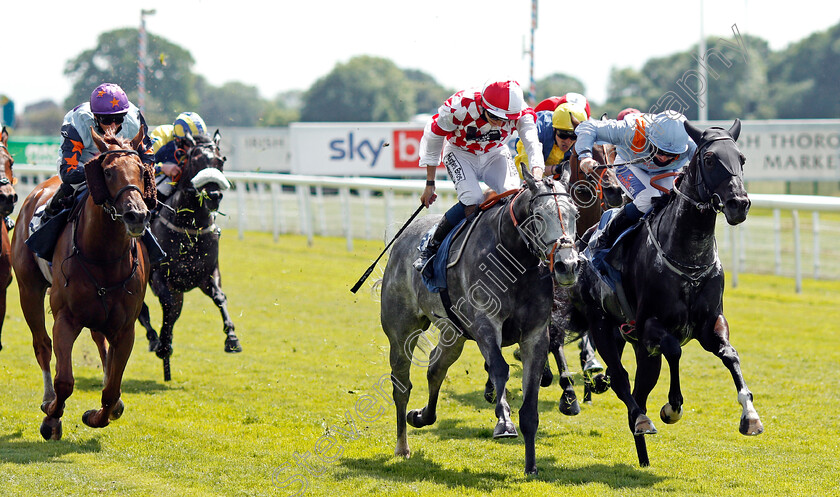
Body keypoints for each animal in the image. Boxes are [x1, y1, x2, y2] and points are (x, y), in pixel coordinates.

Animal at [11, 127, 156, 438]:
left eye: (142, 170)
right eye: (109, 171)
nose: (137, 215)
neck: (104, 258)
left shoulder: (125, 328)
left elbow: (112, 389)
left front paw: (98, 414)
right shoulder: (65, 318)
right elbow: (64, 380)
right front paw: (51, 418)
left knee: (101, 343)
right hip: (29, 289)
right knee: (42, 344)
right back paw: (47, 399)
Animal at [136, 130, 238, 382]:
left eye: (221, 161)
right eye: (196, 160)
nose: (213, 195)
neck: (189, 226)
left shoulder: (207, 274)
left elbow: (219, 297)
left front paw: (232, 339)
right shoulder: (160, 276)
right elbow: (166, 305)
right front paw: (163, 344)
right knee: (144, 311)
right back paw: (156, 341)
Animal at [378, 170, 576, 472]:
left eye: (575, 213)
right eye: (539, 216)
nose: (569, 265)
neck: (513, 257)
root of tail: (402, 240)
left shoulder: (535, 335)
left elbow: (530, 406)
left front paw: (531, 466)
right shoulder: (485, 324)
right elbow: (499, 369)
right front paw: (504, 422)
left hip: (454, 334)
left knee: (435, 367)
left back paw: (421, 416)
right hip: (401, 331)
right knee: (401, 383)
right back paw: (402, 446)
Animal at [576, 119, 760, 464]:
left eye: (741, 158)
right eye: (710, 159)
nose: (739, 204)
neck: (690, 259)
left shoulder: (711, 323)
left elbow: (730, 355)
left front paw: (751, 416)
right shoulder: (651, 327)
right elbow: (674, 349)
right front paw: (672, 408)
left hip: (639, 350)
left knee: (638, 392)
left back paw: (643, 454)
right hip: (603, 327)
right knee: (621, 380)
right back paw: (643, 420)